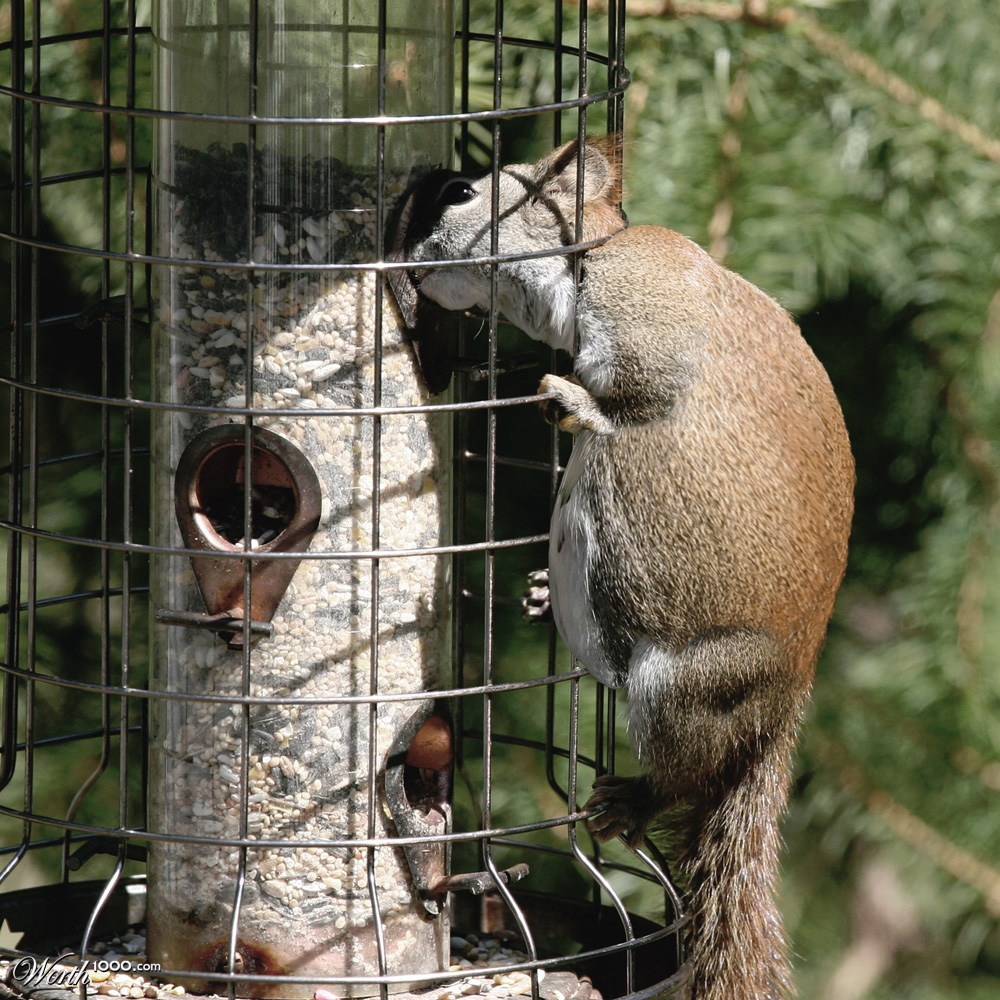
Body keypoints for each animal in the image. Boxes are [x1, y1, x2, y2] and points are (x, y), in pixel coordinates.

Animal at [394, 138, 855, 999]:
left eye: (464, 194)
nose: (406, 257)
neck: (588, 255)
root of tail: (784, 706)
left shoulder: (649, 307)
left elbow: (637, 395)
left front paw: (570, 400)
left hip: (684, 687)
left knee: (689, 776)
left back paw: (633, 800)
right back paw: (544, 595)